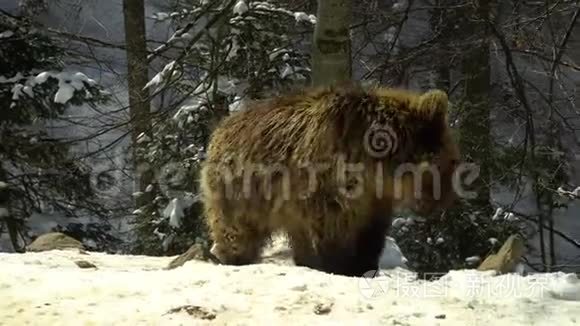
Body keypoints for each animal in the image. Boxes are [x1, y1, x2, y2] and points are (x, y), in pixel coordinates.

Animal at [197, 83, 460, 276]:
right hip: (242, 190)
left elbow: (370, 234)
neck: (378, 169)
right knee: (236, 229)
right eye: (448, 163)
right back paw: (232, 257)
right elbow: (334, 228)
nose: (445, 202)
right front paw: (338, 265)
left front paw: (364, 266)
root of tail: (220, 129)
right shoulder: (332, 186)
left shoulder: (376, 202)